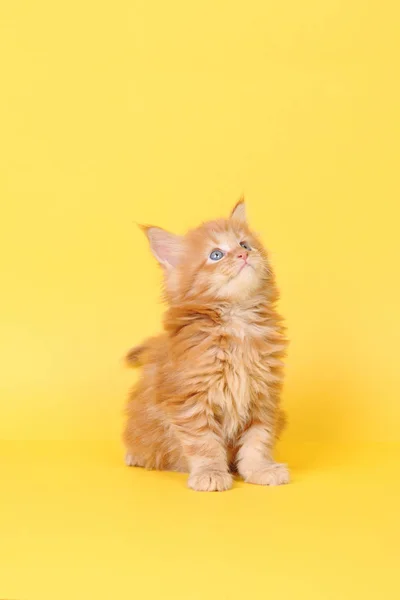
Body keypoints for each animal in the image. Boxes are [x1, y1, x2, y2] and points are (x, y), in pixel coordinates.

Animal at [123, 199, 290, 490]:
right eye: (216, 255)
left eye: (244, 244)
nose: (243, 255)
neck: (237, 321)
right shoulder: (190, 400)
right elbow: (204, 444)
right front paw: (210, 473)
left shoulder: (263, 396)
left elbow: (258, 440)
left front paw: (260, 470)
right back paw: (137, 456)